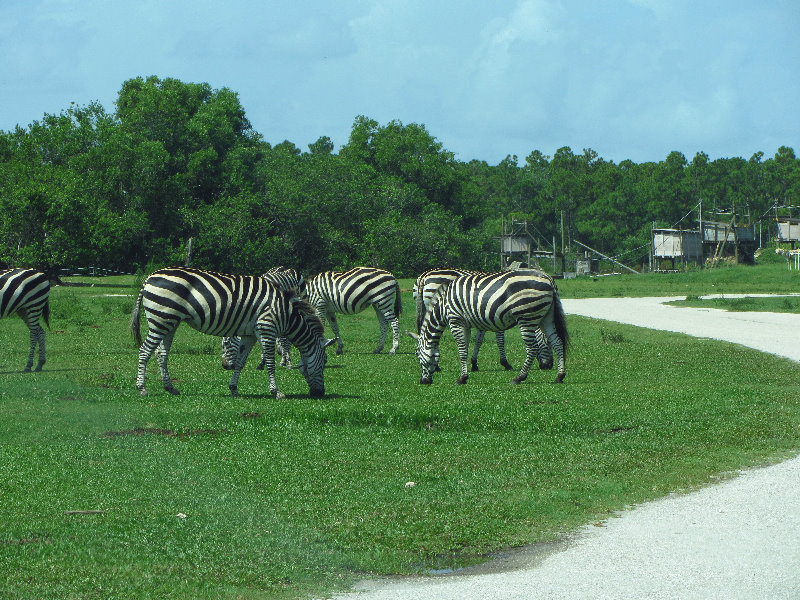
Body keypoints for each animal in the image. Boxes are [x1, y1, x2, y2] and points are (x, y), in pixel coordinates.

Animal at [130, 268, 334, 398]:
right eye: (324, 362)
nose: (320, 393)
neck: (285, 312)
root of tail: (149, 278)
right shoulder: (267, 328)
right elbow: (270, 362)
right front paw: (276, 392)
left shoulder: (250, 335)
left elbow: (241, 362)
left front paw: (234, 388)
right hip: (161, 318)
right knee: (145, 351)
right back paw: (141, 388)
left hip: (170, 321)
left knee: (161, 354)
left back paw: (170, 387)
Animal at [412, 270, 568, 384]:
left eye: (417, 355)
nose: (423, 381)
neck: (443, 307)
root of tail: (548, 278)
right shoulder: (465, 323)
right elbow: (467, 348)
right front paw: (467, 371)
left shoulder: (455, 321)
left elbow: (462, 349)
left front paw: (462, 378)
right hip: (546, 317)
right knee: (558, 342)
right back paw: (559, 376)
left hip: (526, 316)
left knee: (532, 348)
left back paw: (519, 377)